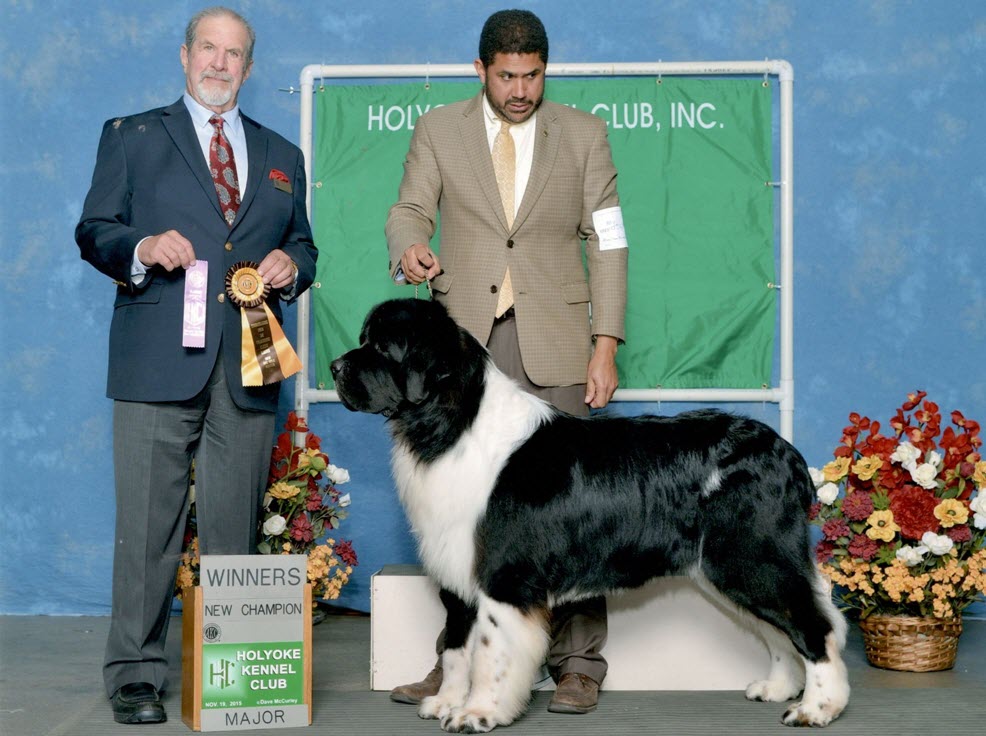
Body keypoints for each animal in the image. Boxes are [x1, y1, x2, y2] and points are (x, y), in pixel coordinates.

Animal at [330, 298, 844, 732]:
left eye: (383, 347)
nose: (334, 367)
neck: (452, 424)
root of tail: (786, 453)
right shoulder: (457, 570)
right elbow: (457, 646)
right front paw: (446, 702)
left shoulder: (503, 576)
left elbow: (490, 653)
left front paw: (477, 713)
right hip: (730, 567)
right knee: (779, 630)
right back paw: (778, 688)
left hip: (753, 557)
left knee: (815, 626)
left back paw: (818, 708)